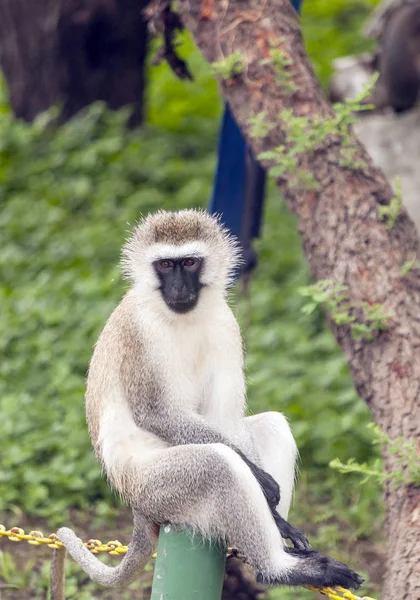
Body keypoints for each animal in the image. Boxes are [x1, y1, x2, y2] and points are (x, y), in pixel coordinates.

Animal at [50, 211, 364, 596]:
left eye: (189, 263)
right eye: (165, 265)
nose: (178, 288)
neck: (179, 316)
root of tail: (139, 510)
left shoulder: (226, 324)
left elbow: (225, 418)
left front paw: (278, 519)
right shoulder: (140, 334)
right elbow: (159, 413)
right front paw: (263, 484)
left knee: (272, 426)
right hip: (152, 487)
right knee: (217, 464)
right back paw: (277, 570)